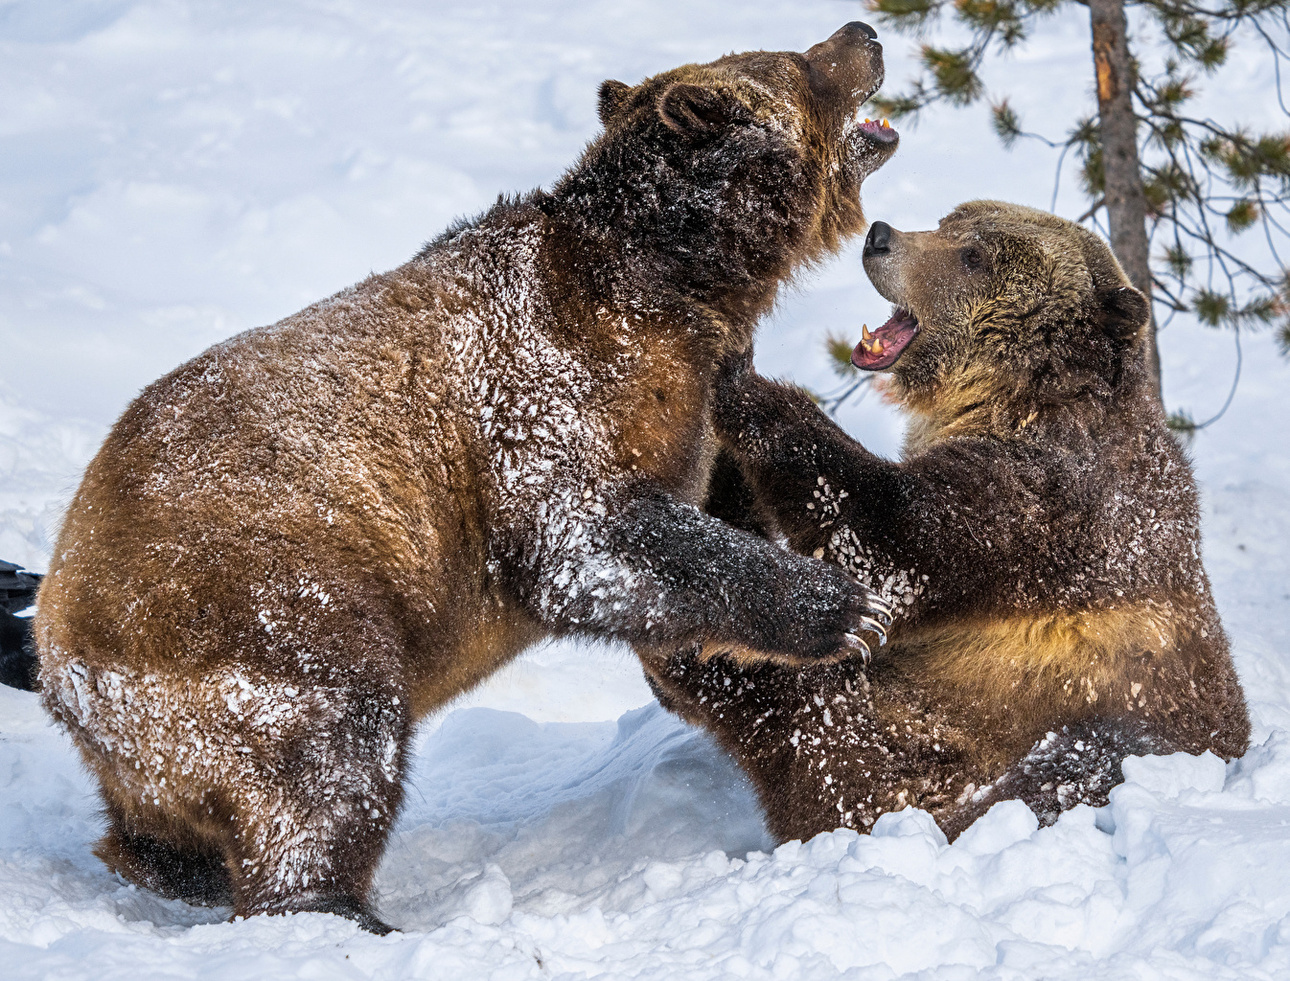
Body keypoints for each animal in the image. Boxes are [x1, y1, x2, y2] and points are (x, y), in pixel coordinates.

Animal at [32, 24, 897, 934]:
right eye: (797, 61)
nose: (863, 33)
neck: (673, 282)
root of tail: (57, 648)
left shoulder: (686, 398)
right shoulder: (549, 386)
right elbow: (585, 537)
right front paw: (845, 607)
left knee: (171, 818)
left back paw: (177, 865)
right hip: (249, 606)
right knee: (328, 749)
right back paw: (337, 906)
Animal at [645, 201, 1248, 841]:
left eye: (974, 256)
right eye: (950, 220)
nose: (880, 237)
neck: (1007, 396)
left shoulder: (1053, 499)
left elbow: (893, 536)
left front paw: (744, 378)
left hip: (986, 729)